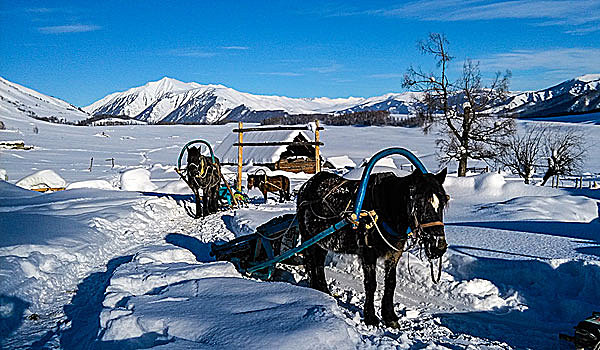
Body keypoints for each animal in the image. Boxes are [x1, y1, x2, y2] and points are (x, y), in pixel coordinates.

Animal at [298, 170, 448, 328]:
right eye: (419, 203)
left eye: (443, 203)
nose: (439, 247)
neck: (384, 211)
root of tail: (306, 186)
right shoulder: (368, 253)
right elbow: (371, 284)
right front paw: (370, 317)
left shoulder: (394, 254)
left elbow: (391, 283)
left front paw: (389, 316)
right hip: (309, 240)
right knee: (312, 263)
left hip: (322, 243)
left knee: (319, 265)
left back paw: (323, 291)